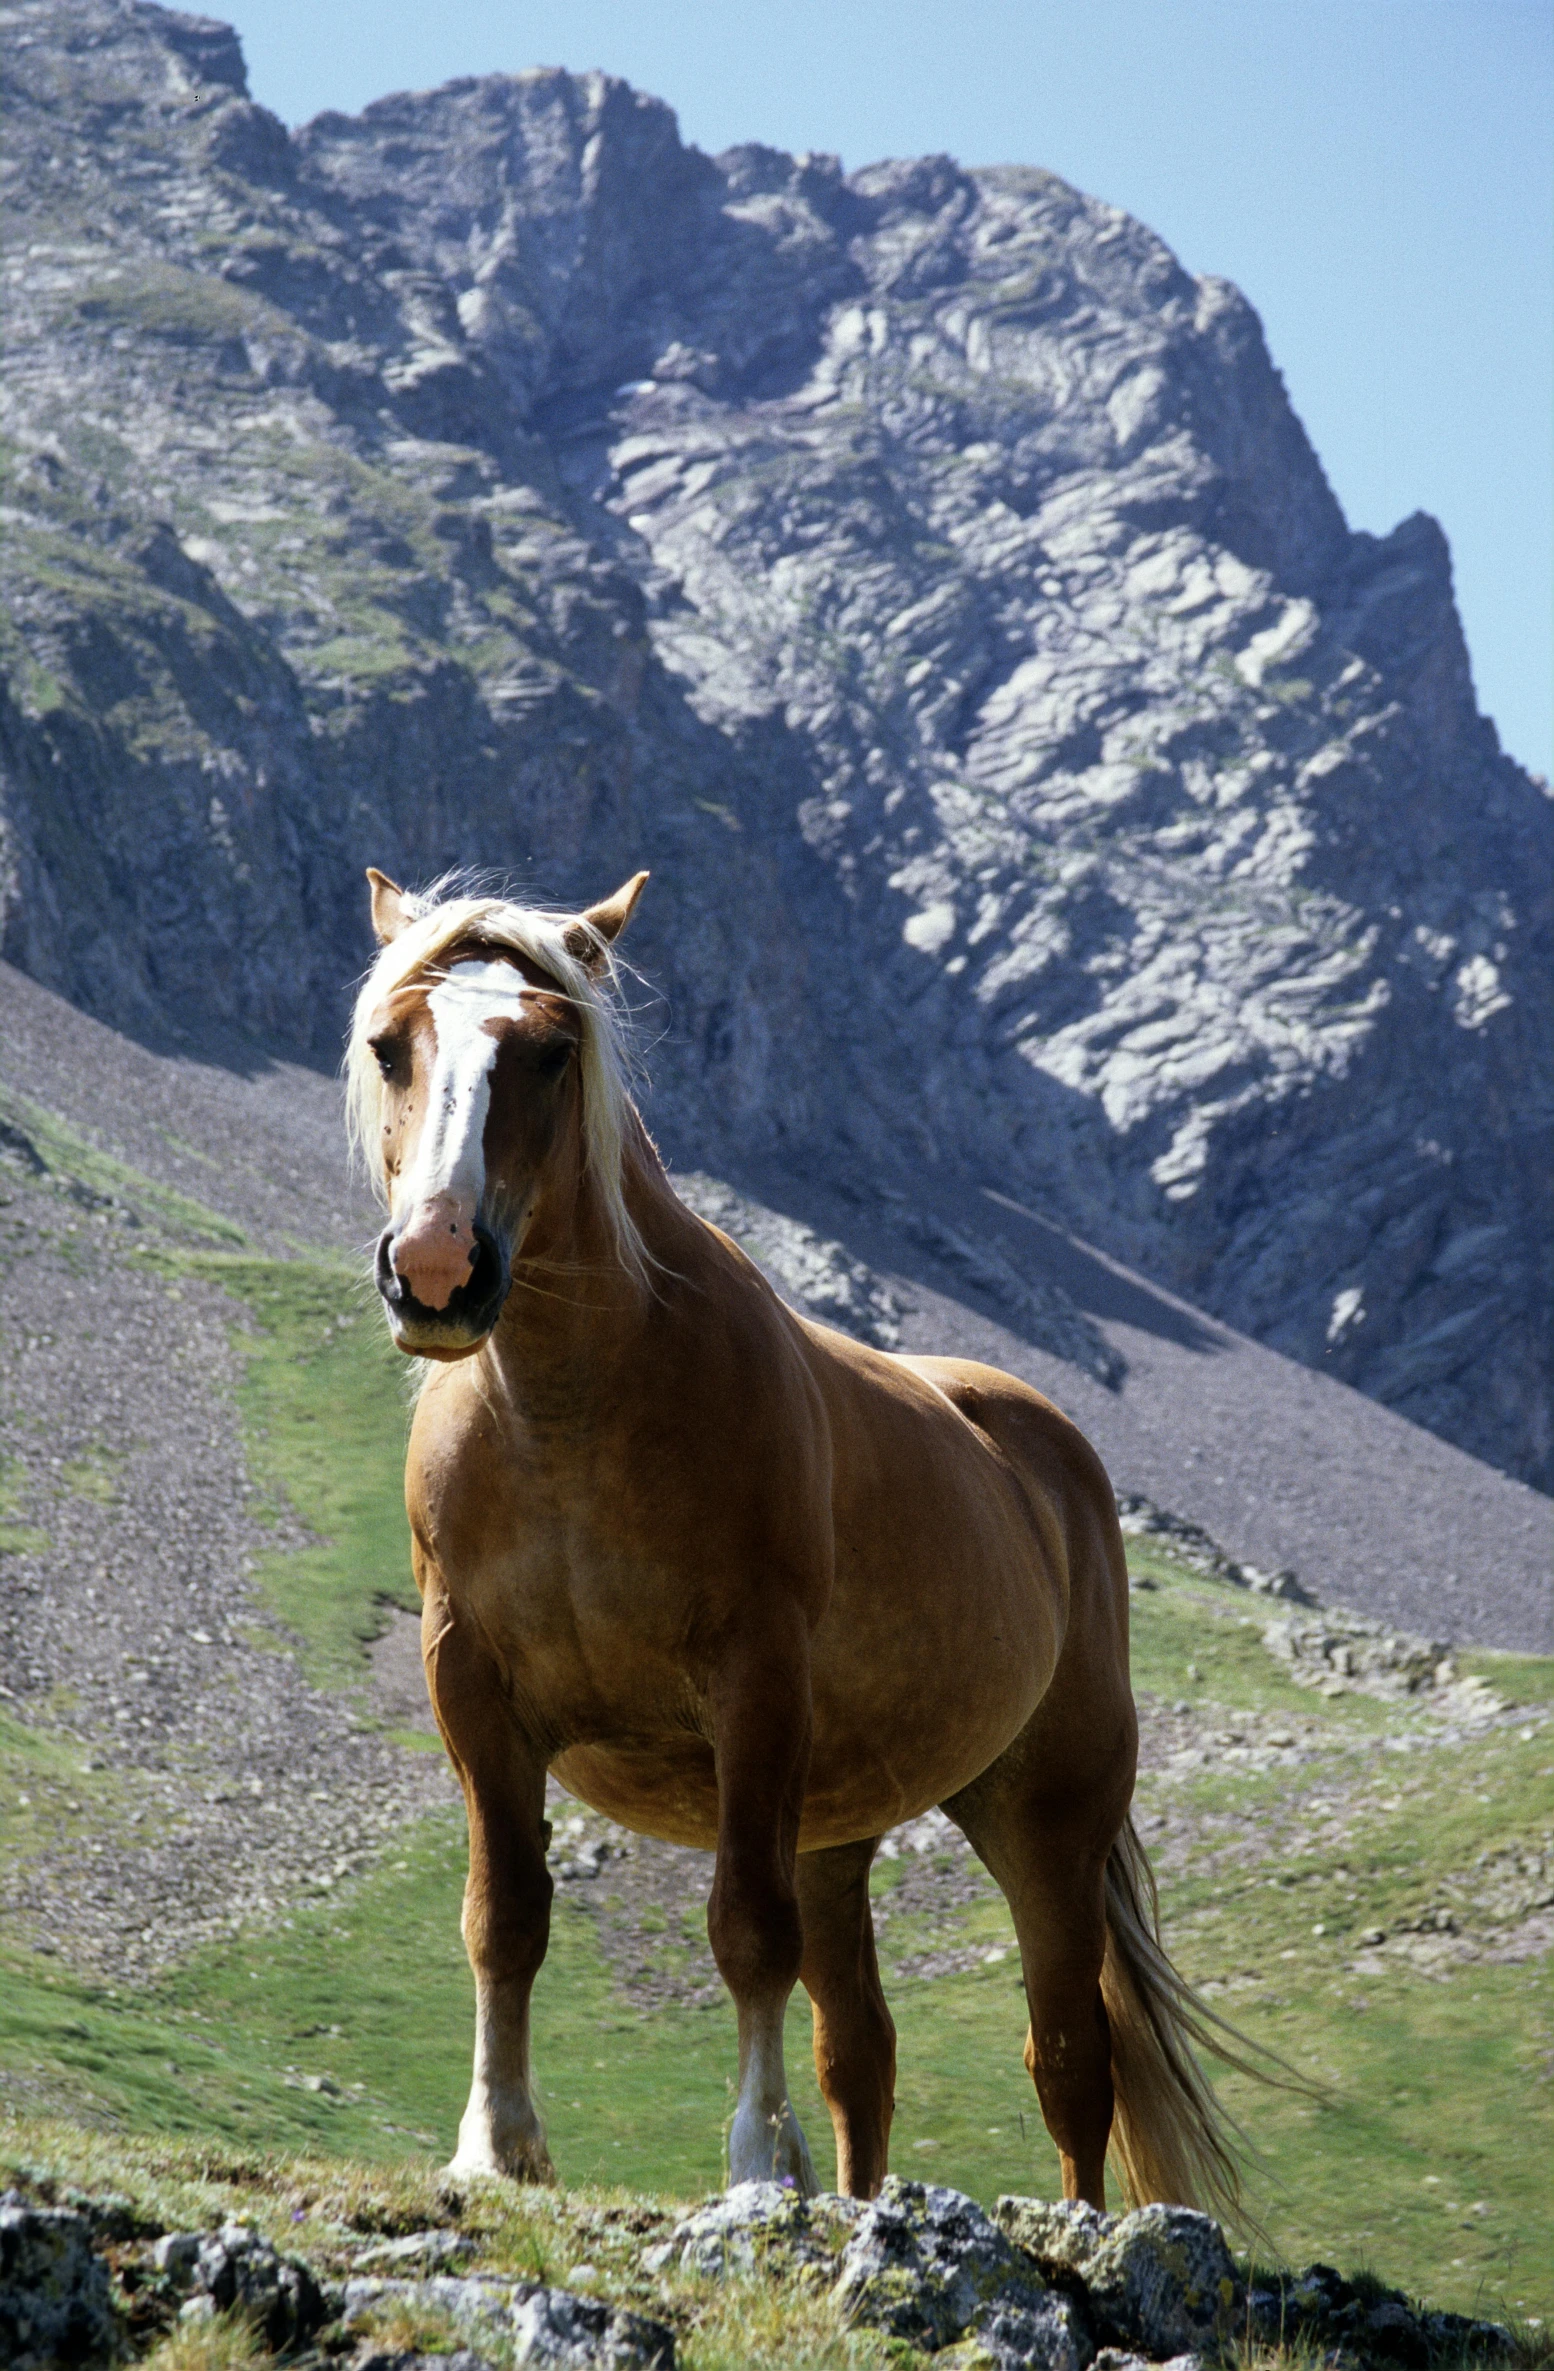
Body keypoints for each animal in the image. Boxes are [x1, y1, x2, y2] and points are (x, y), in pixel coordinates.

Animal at [348, 867, 1243, 2200]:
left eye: (553, 1052)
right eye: (389, 1044)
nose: (439, 1266)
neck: (573, 1413)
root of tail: (1052, 1459)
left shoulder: (754, 1686)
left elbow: (744, 1934)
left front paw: (759, 2165)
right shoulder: (474, 1687)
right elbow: (503, 1918)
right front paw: (497, 2148)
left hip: (1043, 1819)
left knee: (1072, 2056)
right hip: (836, 1828)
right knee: (861, 2052)